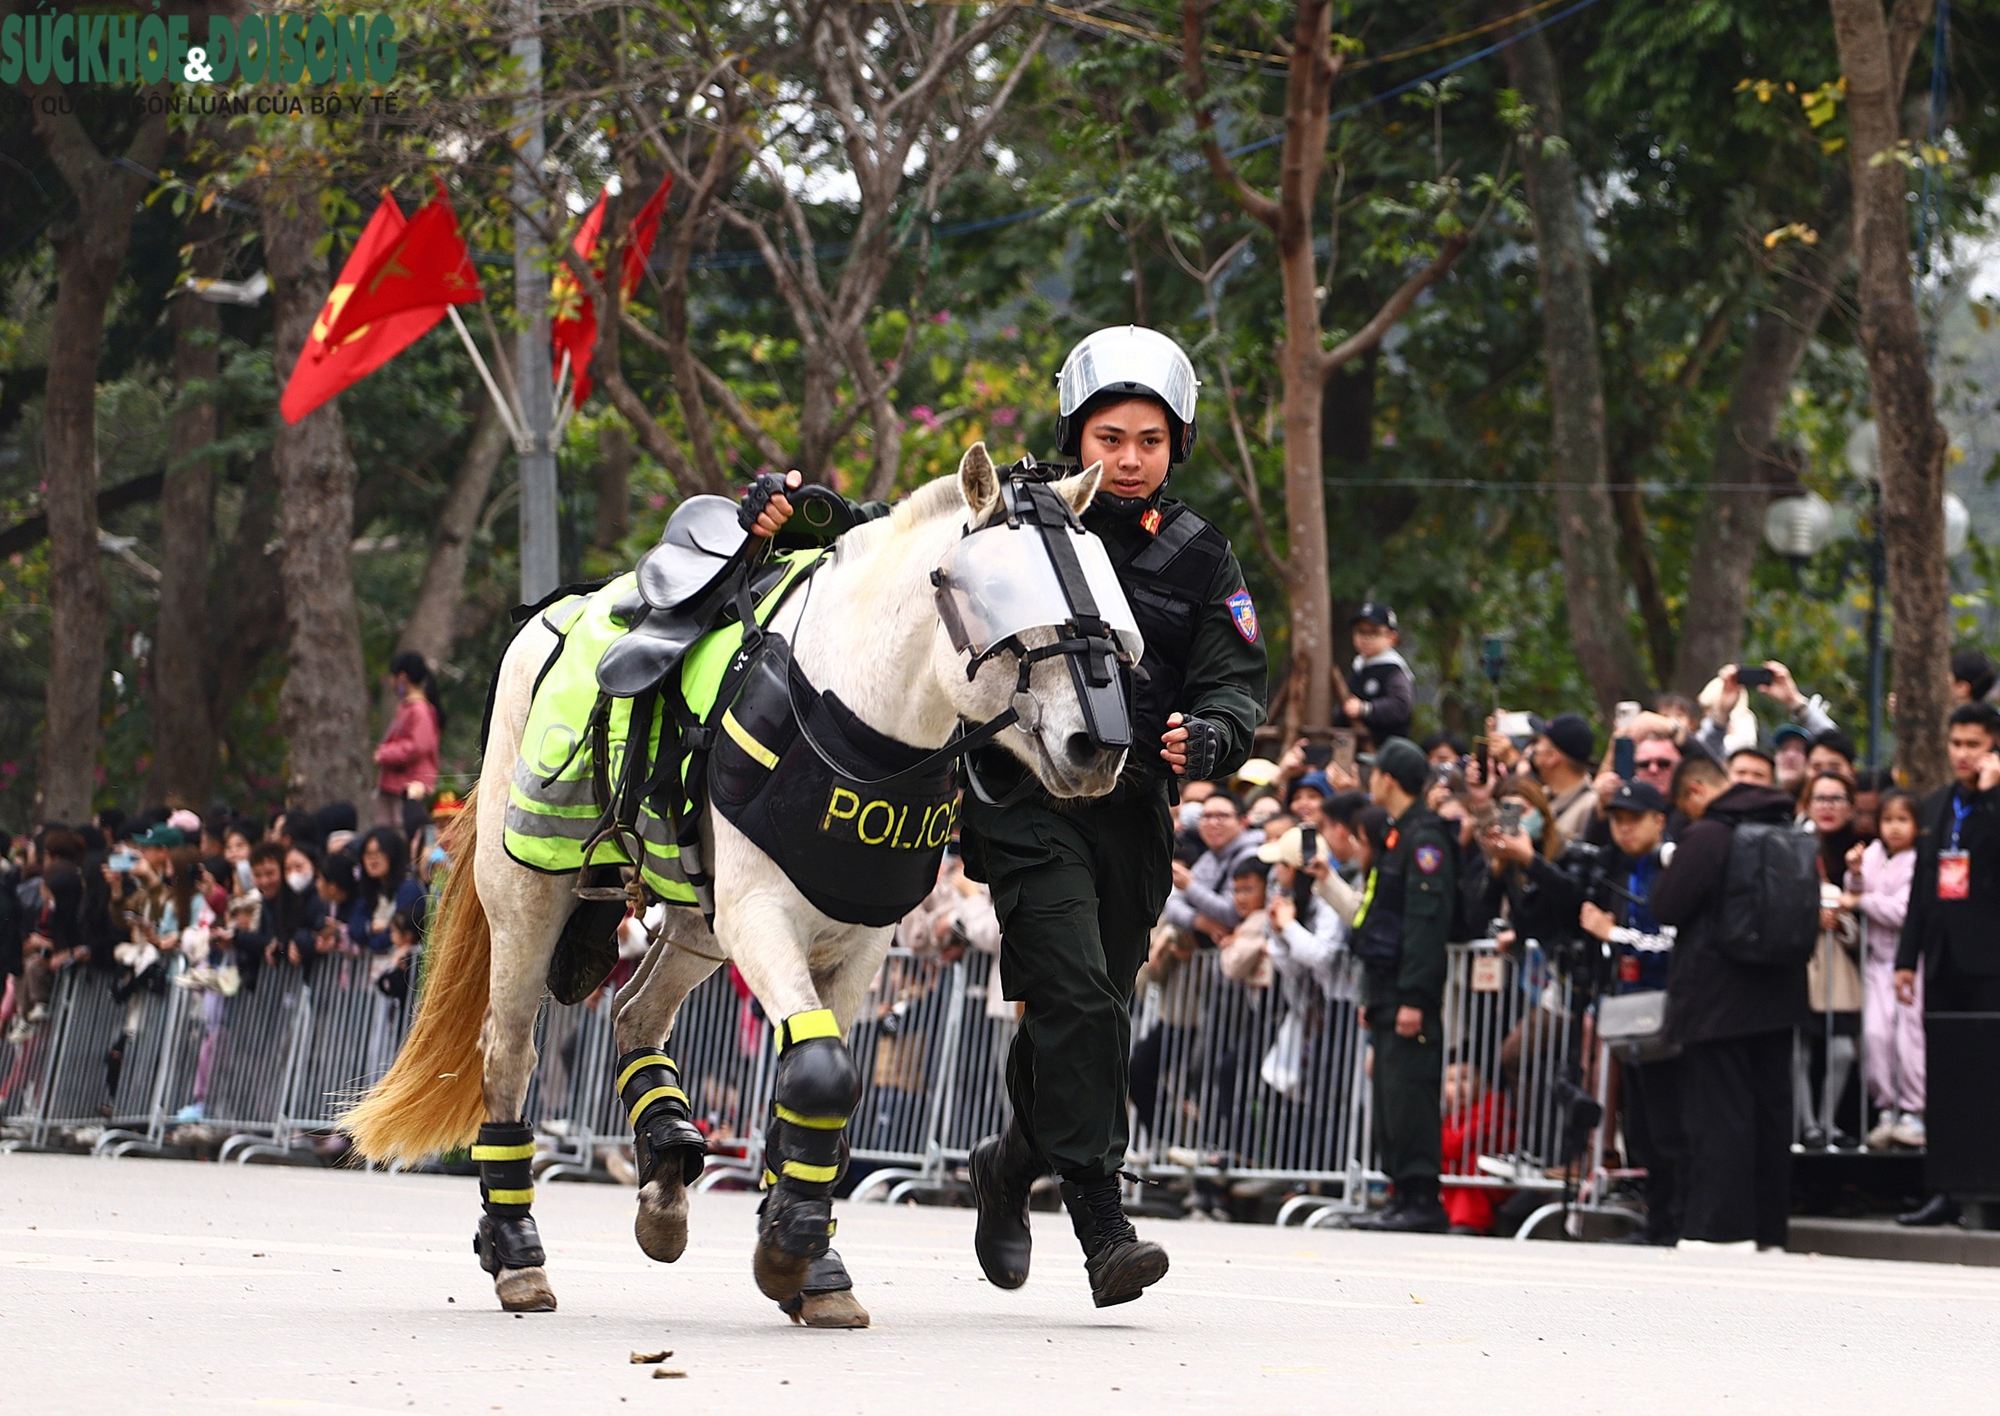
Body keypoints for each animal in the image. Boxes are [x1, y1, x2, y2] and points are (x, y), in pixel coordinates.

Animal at [346, 446, 1128, 1328]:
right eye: (1008, 604)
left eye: (1106, 610)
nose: (1097, 746)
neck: (854, 725)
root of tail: (550, 615)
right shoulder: (761, 918)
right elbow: (823, 1074)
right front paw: (793, 1251)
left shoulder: (859, 944)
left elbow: (816, 1081)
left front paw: (812, 1259)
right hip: (531, 900)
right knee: (510, 1050)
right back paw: (517, 1251)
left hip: (697, 927)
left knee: (634, 1011)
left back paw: (665, 1167)